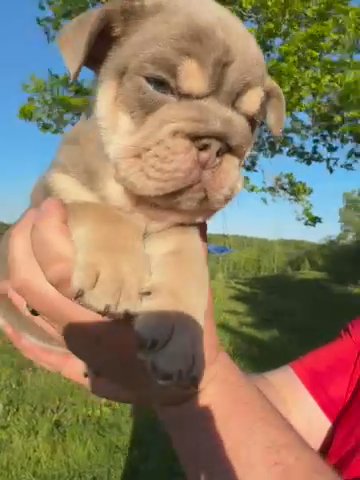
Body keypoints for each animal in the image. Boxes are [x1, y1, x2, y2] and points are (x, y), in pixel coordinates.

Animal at [0, 0, 286, 388]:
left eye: (252, 121)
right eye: (158, 85)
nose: (216, 145)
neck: (139, 202)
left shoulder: (181, 226)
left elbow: (185, 256)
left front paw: (181, 328)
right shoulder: (56, 187)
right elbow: (99, 211)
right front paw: (115, 272)